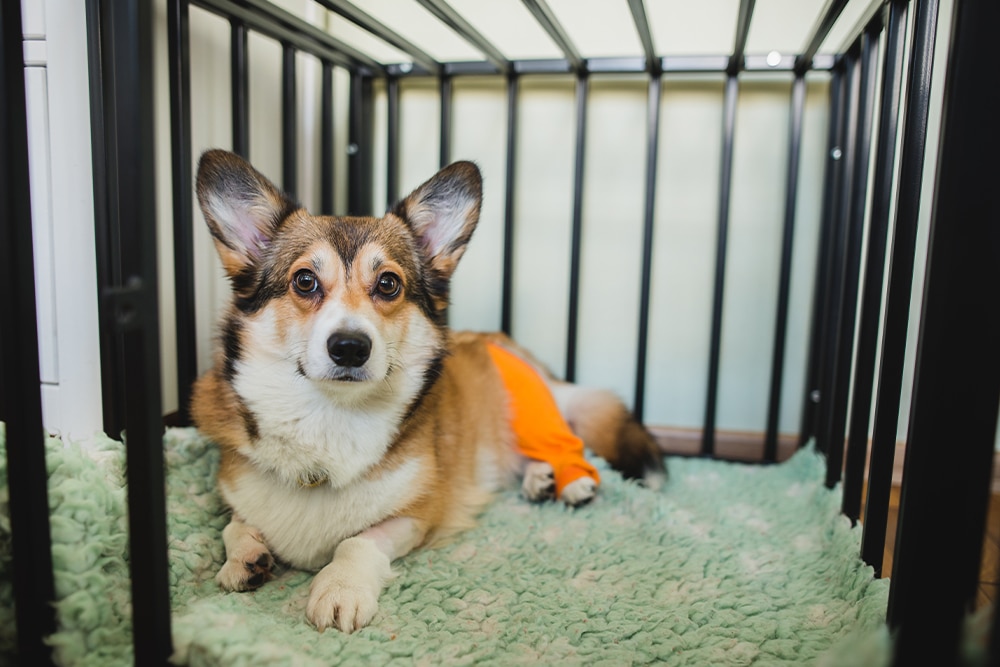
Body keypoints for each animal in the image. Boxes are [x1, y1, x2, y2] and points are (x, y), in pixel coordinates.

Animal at [191, 149, 668, 636]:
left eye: (388, 284)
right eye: (304, 280)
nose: (350, 347)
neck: (329, 418)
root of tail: (505, 341)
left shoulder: (417, 514)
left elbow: (355, 543)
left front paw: (340, 589)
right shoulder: (237, 491)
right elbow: (234, 526)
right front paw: (244, 559)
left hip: (532, 416)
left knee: (563, 446)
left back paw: (569, 483)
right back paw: (538, 480)